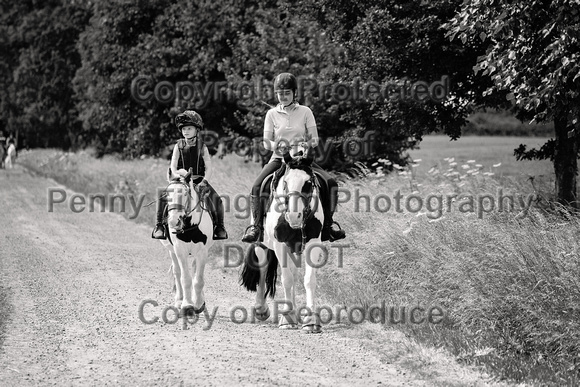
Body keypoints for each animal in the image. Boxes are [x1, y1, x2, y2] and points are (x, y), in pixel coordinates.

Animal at [159, 169, 213, 316]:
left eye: (184, 193)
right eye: (167, 195)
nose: (173, 221)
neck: (190, 226)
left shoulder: (202, 252)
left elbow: (198, 280)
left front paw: (198, 304)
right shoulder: (180, 250)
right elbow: (185, 278)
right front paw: (187, 305)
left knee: (194, 271)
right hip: (172, 251)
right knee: (177, 272)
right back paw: (179, 300)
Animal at [240, 146, 326, 334]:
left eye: (308, 183)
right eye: (285, 183)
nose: (294, 216)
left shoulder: (312, 242)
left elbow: (309, 279)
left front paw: (311, 320)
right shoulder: (280, 244)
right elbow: (286, 279)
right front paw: (286, 318)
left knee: (293, 273)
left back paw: (295, 312)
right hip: (262, 243)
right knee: (263, 268)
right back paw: (262, 309)